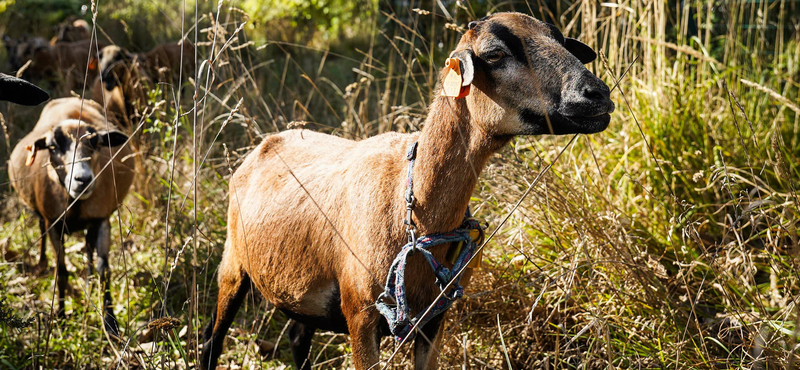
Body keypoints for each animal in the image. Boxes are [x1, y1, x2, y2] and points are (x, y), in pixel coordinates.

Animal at [8, 97, 134, 336]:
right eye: (52, 147)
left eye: (96, 143)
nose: (83, 179)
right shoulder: (54, 225)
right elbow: (62, 271)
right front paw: (60, 316)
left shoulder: (102, 220)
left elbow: (104, 270)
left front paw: (111, 323)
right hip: (44, 216)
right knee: (42, 230)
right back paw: (41, 263)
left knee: (88, 247)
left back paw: (88, 280)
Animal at [200, 12, 612, 370]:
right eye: (495, 54)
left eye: (563, 42)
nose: (597, 95)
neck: (412, 207)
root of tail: (268, 141)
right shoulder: (361, 316)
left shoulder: (434, 320)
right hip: (233, 265)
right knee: (211, 338)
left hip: (302, 290)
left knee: (298, 339)